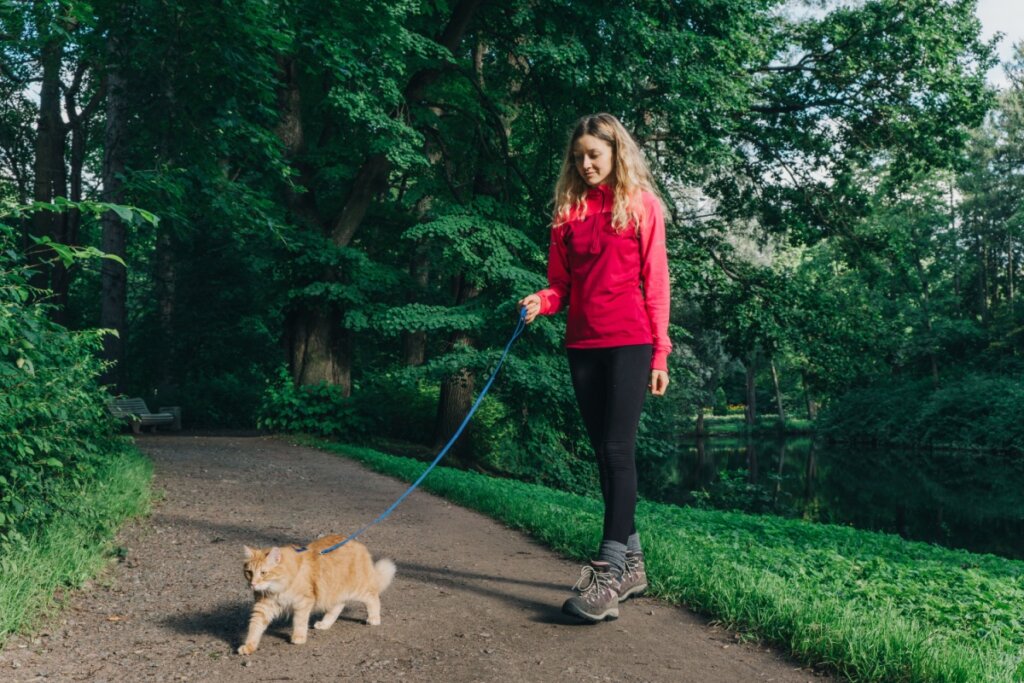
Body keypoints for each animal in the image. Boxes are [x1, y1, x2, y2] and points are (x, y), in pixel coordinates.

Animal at [238, 532, 395, 655]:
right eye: (249, 572)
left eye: (263, 573)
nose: (253, 584)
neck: (278, 587)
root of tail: (358, 544)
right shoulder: (263, 606)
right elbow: (254, 628)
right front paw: (249, 646)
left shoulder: (303, 602)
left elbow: (300, 622)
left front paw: (299, 637)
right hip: (335, 591)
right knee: (337, 607)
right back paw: (325, 624)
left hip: (357, 589)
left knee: (373, 597)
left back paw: (374, 618)